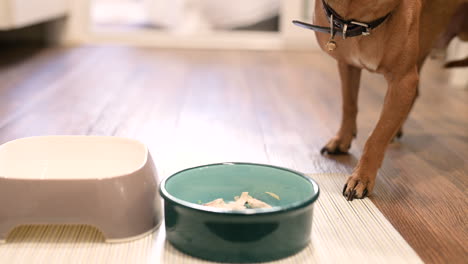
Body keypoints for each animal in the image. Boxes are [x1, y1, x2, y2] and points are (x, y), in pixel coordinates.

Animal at [292, 0, 464, 200]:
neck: (359, 19)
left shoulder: (403, 82)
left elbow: (378, 135)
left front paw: (361, 177)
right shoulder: (347, 65)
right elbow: (349, 105)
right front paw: (342, 139)